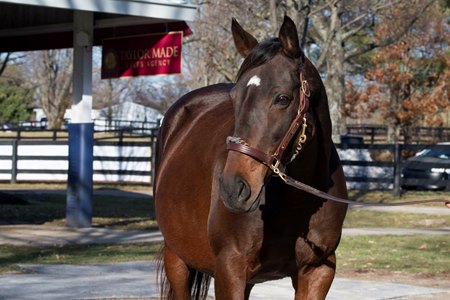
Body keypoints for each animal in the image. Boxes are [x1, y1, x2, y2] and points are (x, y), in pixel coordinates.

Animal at [155, 17, 348, 300]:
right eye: (234, 97)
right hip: (177, 258)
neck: (297, 203)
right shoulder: (229, 269)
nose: (233, 188)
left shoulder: (317, 271)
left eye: (282, 98)